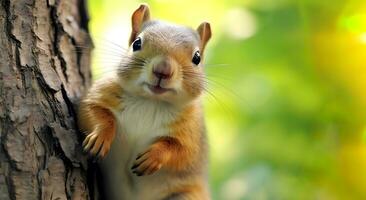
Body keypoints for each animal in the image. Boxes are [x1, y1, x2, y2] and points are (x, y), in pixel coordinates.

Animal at [78, 3, 212, 200]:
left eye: (197, 58)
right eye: (137, 43)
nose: (163, 70)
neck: (151, 101)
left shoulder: (192, 131)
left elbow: (182, 151)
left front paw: (154, 156)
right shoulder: (102, 94)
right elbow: (92, 111)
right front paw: (101, 137)